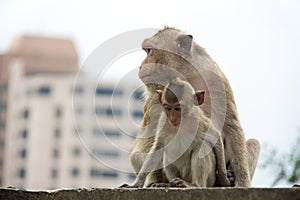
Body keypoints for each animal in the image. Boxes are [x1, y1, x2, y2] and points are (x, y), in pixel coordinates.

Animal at [130, 26, 258, 186]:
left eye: (150, 51)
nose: (141, 65)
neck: (184, 73)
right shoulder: (157, 97)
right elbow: (145, 147)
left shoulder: (215, 78)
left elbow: (231, 127)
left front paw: (240, 182)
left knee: (254, 143)